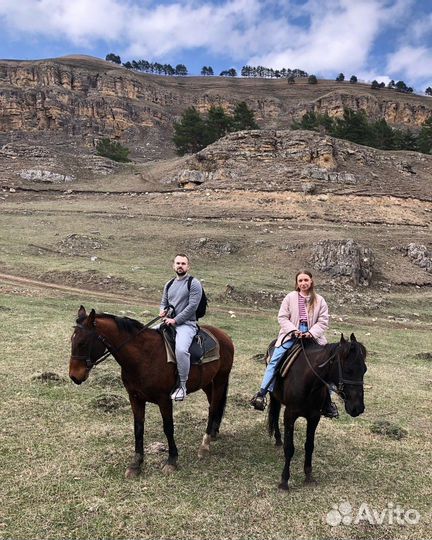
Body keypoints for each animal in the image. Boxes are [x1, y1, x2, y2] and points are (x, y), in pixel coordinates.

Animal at [69, 308, 235, 476]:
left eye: (82, 343)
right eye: (72, 340)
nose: (74, 376)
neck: (143, 357)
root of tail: (224, 336)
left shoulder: (164, 400)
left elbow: (168, 428)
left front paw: (172, 460)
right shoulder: (135, 398)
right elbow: (138, 428)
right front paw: (136, 464)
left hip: (220, 380)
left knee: (213, 407)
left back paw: (205, 445)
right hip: (207, 383)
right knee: (212, 405)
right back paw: (213, 433)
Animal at [268, 334, 366, 490]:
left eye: (365, 370)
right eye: (348, 370)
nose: (358, 408)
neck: (308, 383)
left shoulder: (314, 417)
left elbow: (309, 446)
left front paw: (308, 476)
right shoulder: (290, 415)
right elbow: (289, 448)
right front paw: (284, 481)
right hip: (274, 396)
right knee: (275, 414)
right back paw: (278, 439)